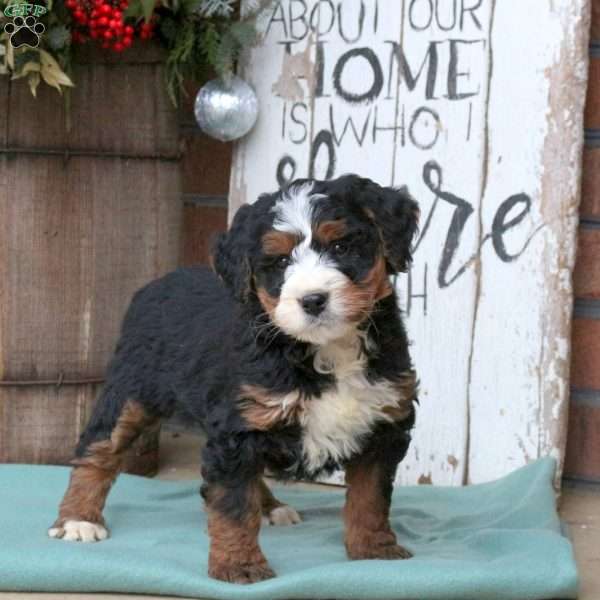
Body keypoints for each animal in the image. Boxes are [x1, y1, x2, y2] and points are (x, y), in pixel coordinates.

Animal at [49, 175, 420, 584]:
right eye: (279, 261)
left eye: (341, 246)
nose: (313, 300)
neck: (325, 349)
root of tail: (164, 280)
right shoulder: (238, 430)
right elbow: (234, 506)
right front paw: (239, 565)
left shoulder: (382, 423)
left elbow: (371, 497)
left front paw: (374, 550)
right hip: (132, 390)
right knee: (98, 449)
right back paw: (79, 519)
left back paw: (272, 507)